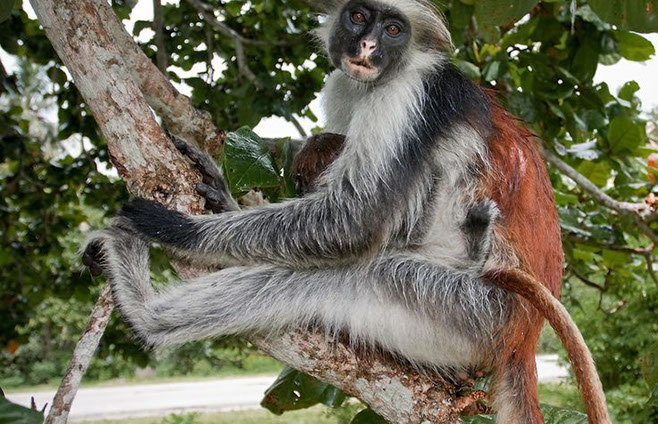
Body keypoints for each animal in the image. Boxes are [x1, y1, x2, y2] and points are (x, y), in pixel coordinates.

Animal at [82, 1, 610, 423]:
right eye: (359, 17)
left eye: (393, 28)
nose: (369, 44)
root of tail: (523, 335)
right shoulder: (344, 84)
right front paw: (219, 197)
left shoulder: (408, 95)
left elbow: (352, 223)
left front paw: (180, 229)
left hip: (470, 315)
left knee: (345, 273)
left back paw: (144, 313)